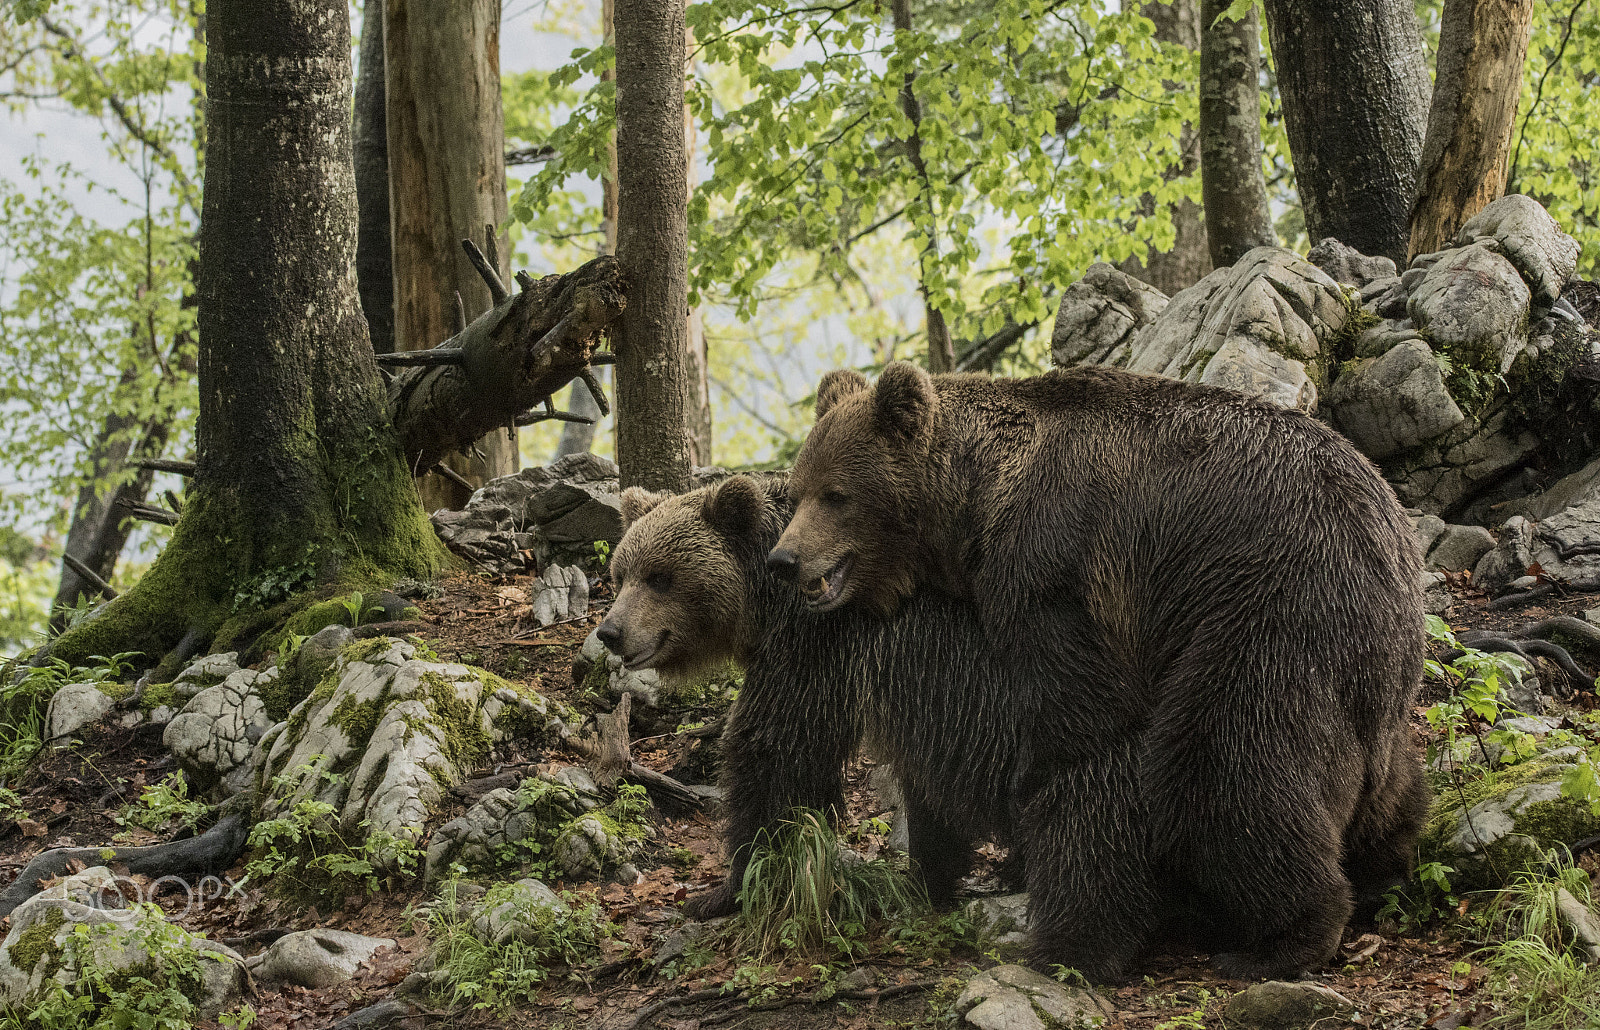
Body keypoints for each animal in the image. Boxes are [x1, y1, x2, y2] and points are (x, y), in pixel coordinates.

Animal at [599, 475, 1022, 918]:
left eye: (660, 577)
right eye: (621, 574)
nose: (610, 631)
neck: (765, 601)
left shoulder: (816, 645)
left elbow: (773, 748)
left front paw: (725, 887)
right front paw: (933, 875)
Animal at [769, 361, 1431, 981]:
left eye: (836, 494)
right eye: (798, 491)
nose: (783, 559)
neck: (973, 505)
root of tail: (1396, 539)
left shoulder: (1056, 575)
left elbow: (1080, 729)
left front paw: (1063, 926)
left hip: (1266, 612)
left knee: (1223, 765)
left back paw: (1284, 939)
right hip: (1364, 684)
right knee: (1381, 778)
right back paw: (1384, 865)